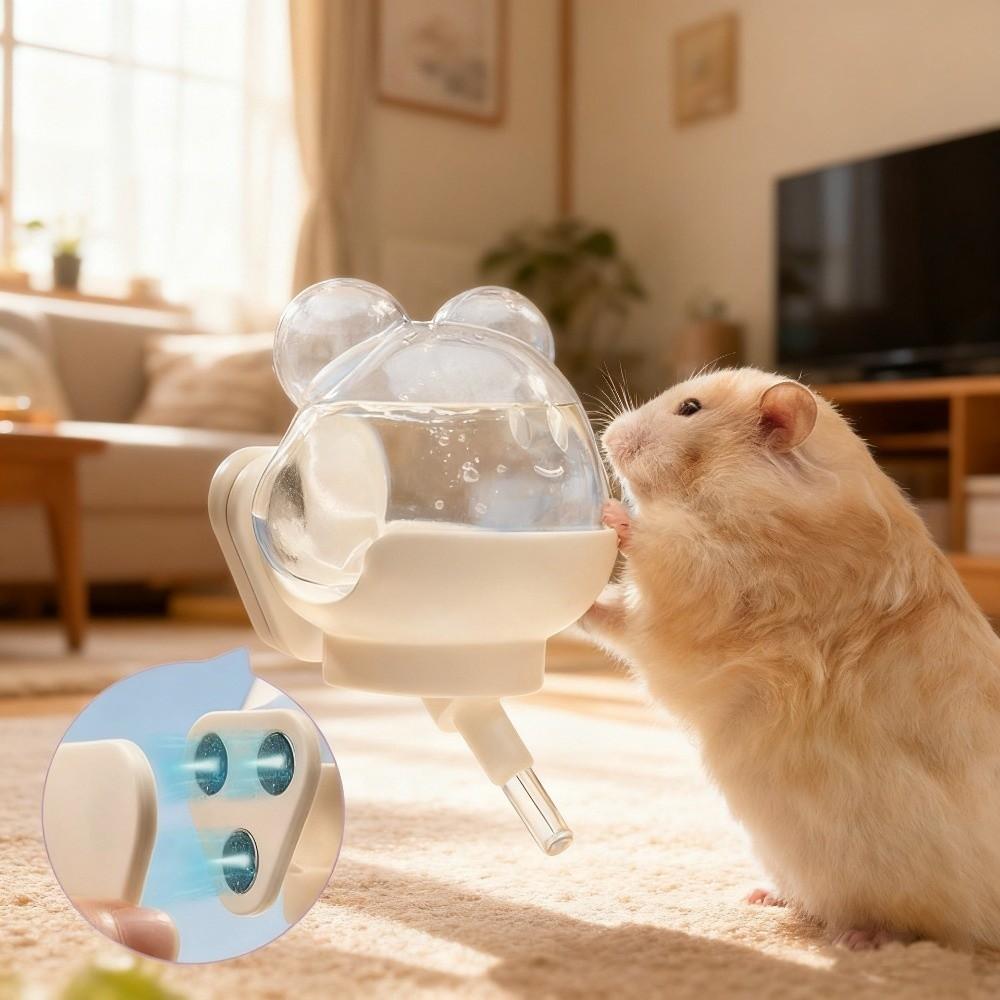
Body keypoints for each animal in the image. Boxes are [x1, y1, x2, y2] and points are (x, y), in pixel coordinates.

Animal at [582, 366, 1000, 951]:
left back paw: (861, 939)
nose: (608, 434)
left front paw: (611, 515)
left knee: (923, 931)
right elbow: (612, 616)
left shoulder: (707, 589)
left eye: (690, 408)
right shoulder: (661, 620)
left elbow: (658, 558)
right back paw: (761, 896)